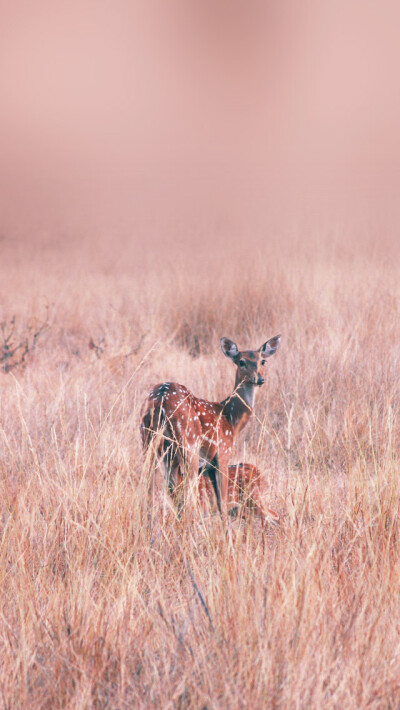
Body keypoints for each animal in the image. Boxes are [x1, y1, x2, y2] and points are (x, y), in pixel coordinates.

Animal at [141, 336, 282, 516]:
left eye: (262, 361)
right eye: (241, 362)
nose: (259, 379)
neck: (231, 418)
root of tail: (161, 399)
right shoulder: (223, 452)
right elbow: (222, 502)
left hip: (150, 441)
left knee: (150, 483)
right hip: (188, 443)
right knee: (187, 491)